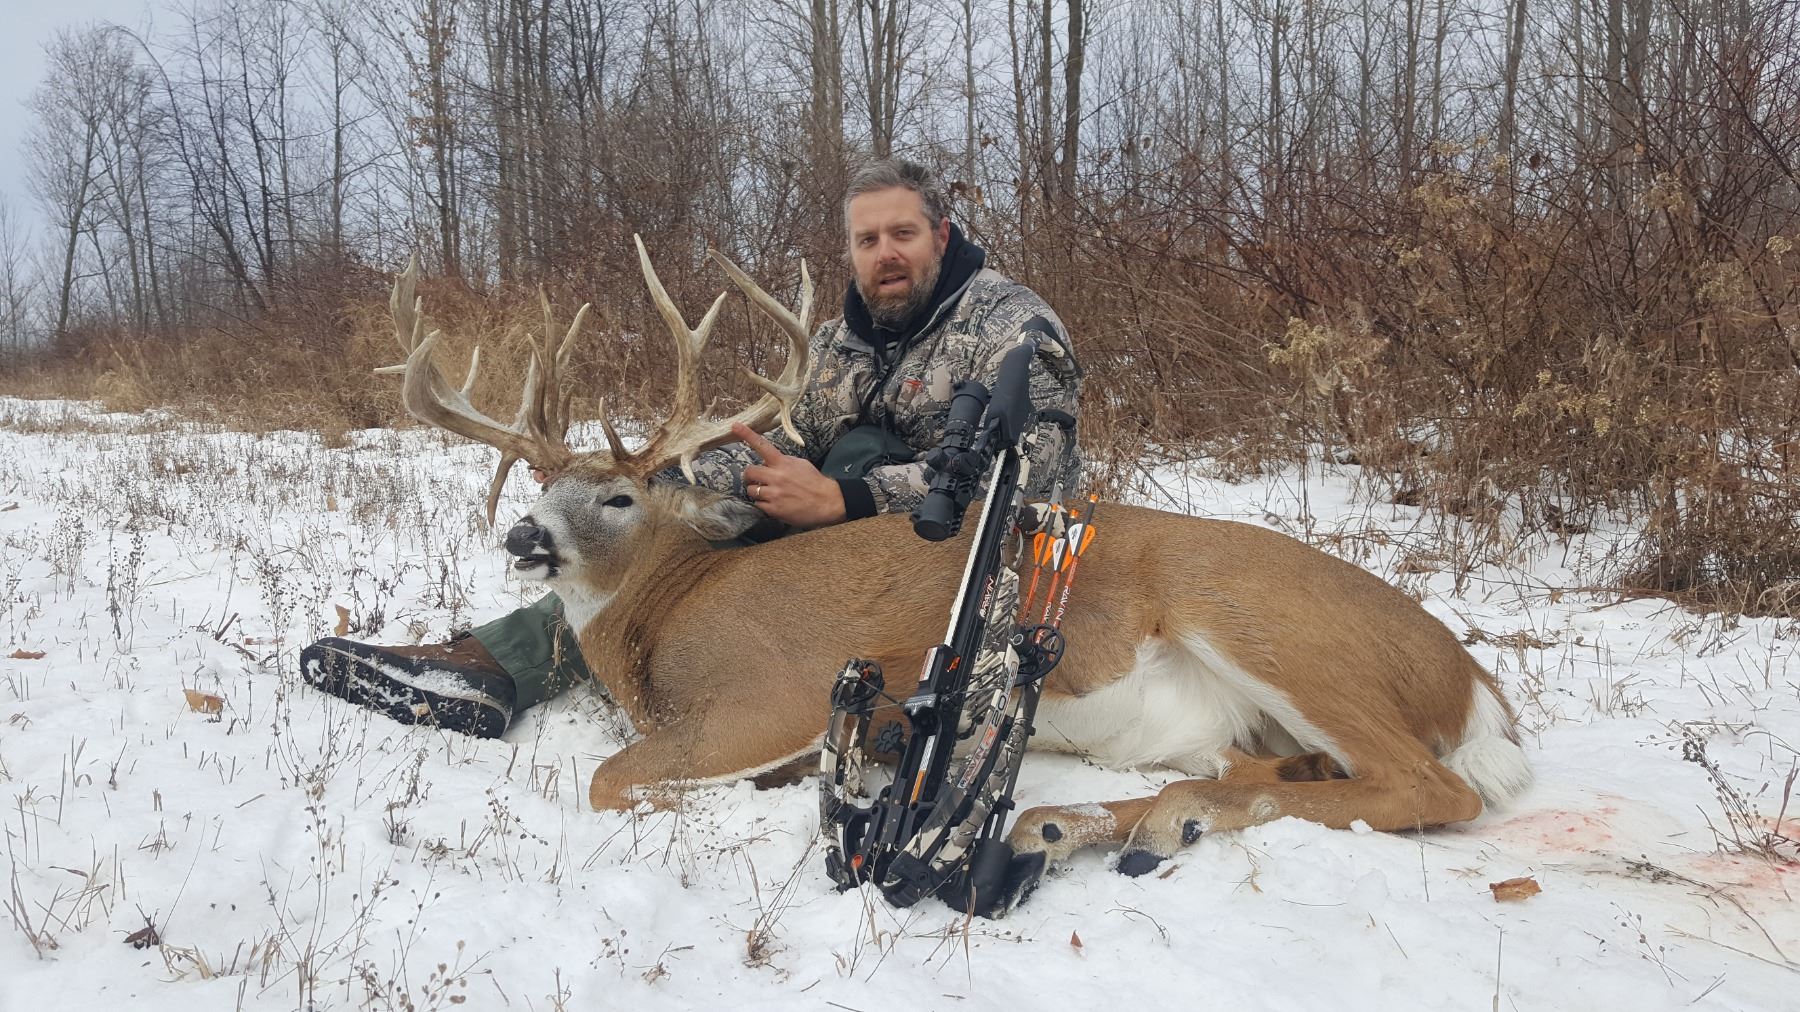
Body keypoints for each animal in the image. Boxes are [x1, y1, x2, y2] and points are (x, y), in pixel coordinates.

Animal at [381, 240, 1533, 883]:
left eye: (619, 496)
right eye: (536, 487)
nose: (525, 538)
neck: (661, 617)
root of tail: (1475, 684)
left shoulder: (774, 687)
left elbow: (612, 779)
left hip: (1268, 622)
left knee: (1431, 784)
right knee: (1287, 769)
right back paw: (1092, 821)